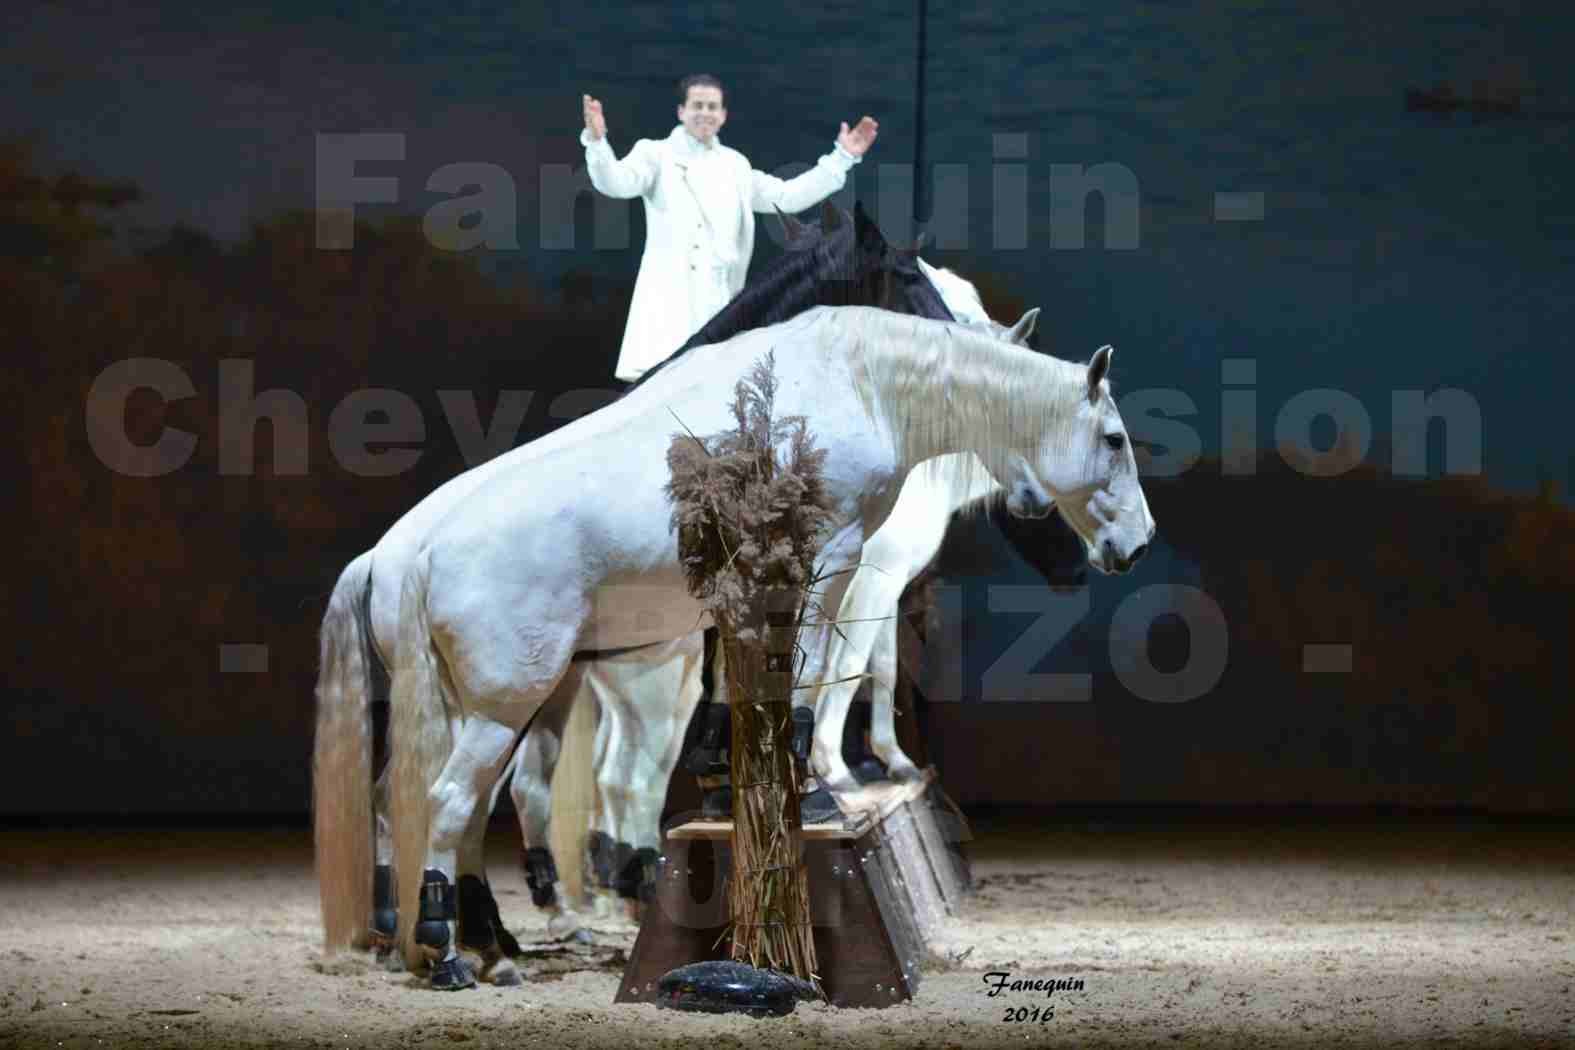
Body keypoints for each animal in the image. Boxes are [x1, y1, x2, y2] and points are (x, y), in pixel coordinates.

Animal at [390, 303, 1159, 988]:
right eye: (1114, 440)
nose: (1139, 542)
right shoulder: (835, 562)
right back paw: (448, 951)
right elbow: (819, 678)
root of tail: (420, 550)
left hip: (498, 710)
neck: (860, 381)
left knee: (473, 813)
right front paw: (819, 791)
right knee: (451, 802)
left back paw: (493, 948)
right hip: (509, 708)